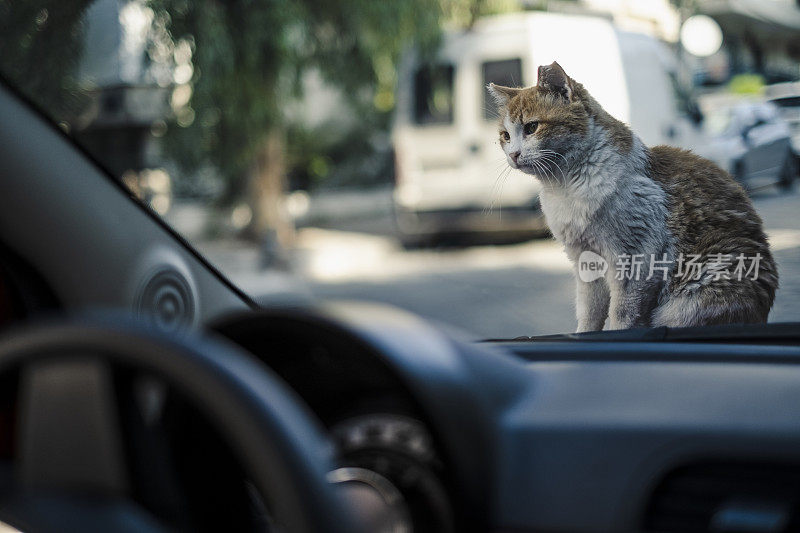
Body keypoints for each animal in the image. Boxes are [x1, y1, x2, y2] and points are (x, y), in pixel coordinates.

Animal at [488, 61, 776, 328]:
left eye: (531, 127)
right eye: (505, 136)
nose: (513, 155)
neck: (566, 186)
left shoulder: (635, 260)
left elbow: (622, 314)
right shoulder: (585, 262)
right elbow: (589, 313)